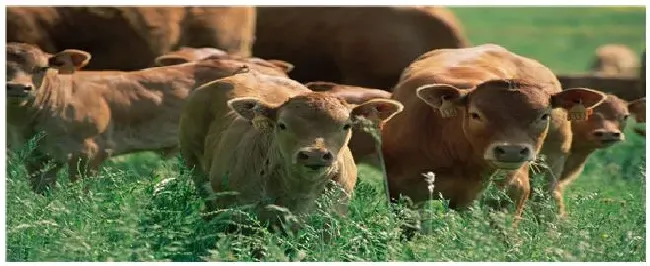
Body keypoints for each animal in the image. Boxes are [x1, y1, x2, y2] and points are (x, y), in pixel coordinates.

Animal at [378, 44, 604, 224]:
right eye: (476, 114)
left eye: (543, 116)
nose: (512, 151)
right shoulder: (405, 193)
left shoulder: (512, 193)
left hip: (550, 165)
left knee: (548, 200)